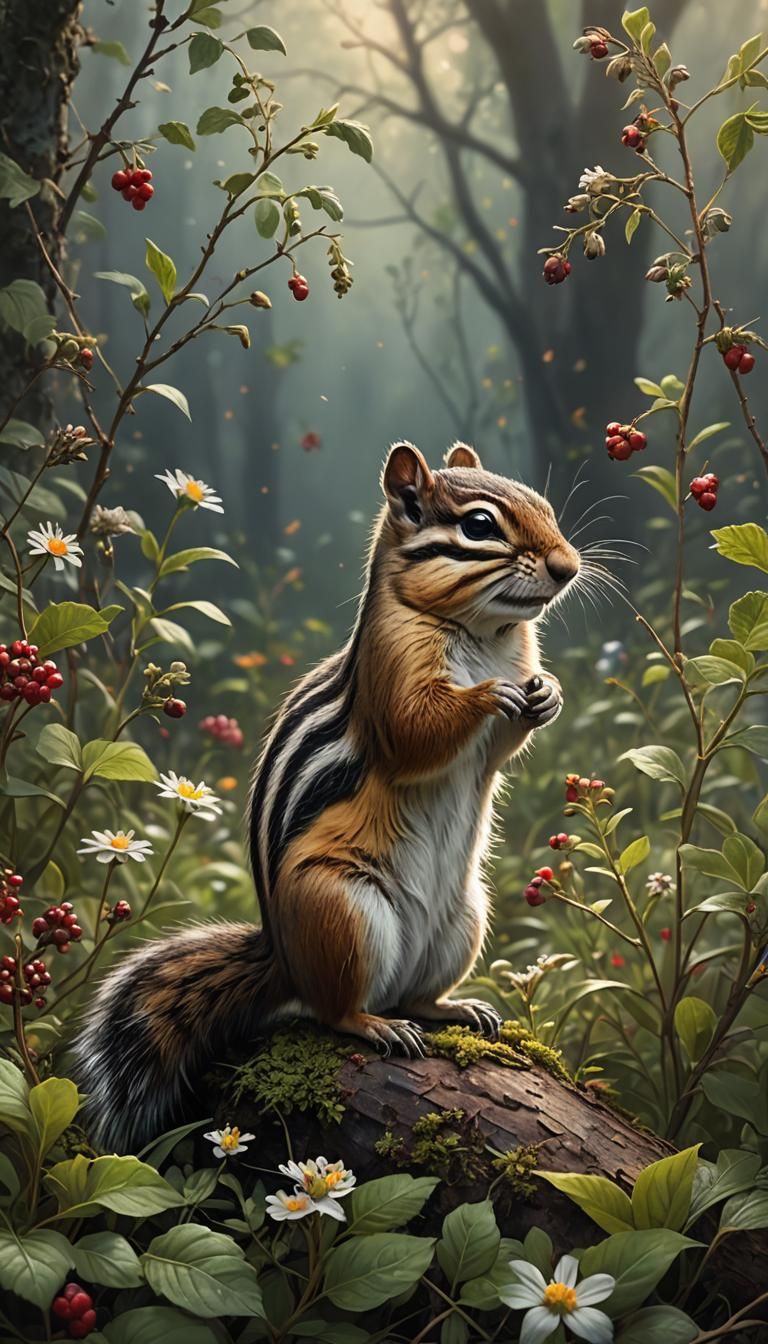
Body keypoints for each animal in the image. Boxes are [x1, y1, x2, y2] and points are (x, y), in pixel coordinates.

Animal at [74, 441, 580, 1151]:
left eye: (545, 506)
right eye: (479, 526)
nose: (568, 566)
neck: (486, 635)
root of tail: (283, 959)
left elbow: (501, 746)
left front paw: (548, 694)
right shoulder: (391, 668)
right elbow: (415, 733)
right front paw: (488, 697)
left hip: (464, 919)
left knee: (413, 996)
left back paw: (453, 1006)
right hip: (342, 910)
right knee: (335, 1009)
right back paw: (374, 1025)